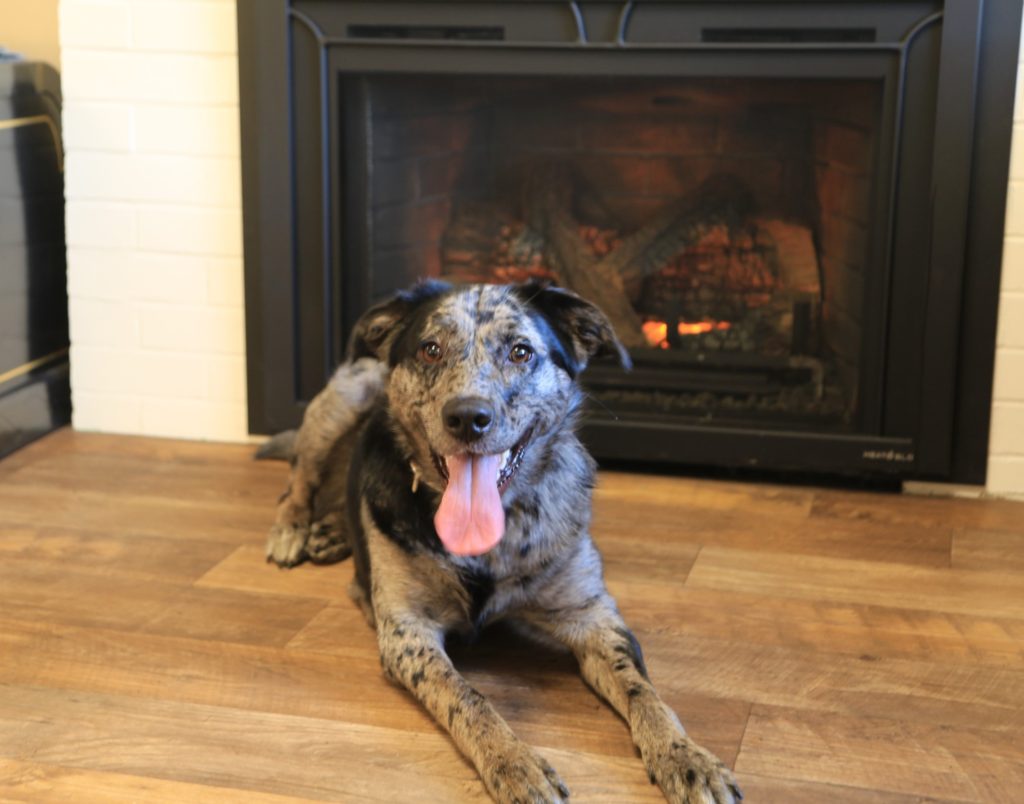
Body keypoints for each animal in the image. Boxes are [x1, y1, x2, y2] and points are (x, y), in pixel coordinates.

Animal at [264, 282, 745, 802]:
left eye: (521, 352)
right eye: (430, 349)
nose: (468, 417)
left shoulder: (592, 616)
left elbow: (645, 693)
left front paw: (687, 757)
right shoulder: (407, 634)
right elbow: (469, 697)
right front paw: (515, 763)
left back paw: (331, 533)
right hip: (343, 398)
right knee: (298, 483)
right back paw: (294, 530)